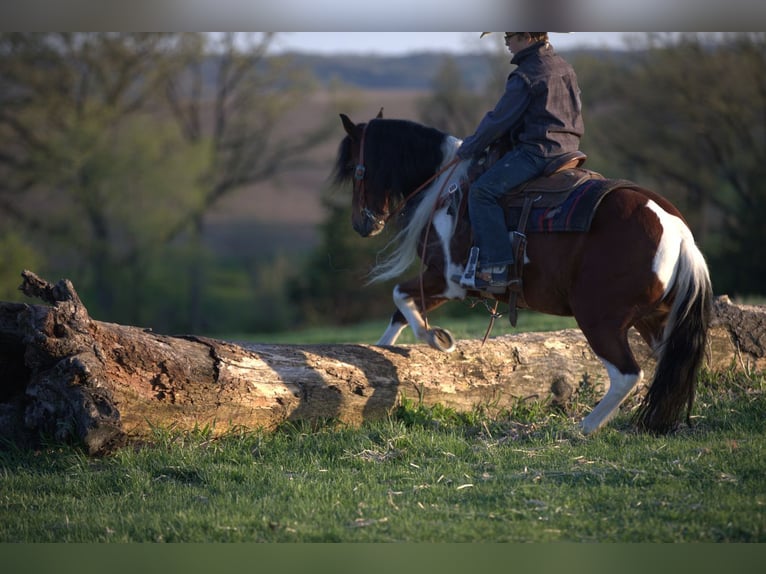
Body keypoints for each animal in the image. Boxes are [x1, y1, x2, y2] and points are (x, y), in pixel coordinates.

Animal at [333, 112, 713, 435]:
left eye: (355, 169)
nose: (361, 224)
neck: (446, 189)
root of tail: (680, 234)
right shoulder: (442, 281)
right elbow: (399, 310)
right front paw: (381, 352)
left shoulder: (449, 279)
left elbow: (399, 294)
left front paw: (435, 338)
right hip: (654, 319)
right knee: (669, 367)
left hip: (599, 317)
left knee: (627, 374)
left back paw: (586, 427)